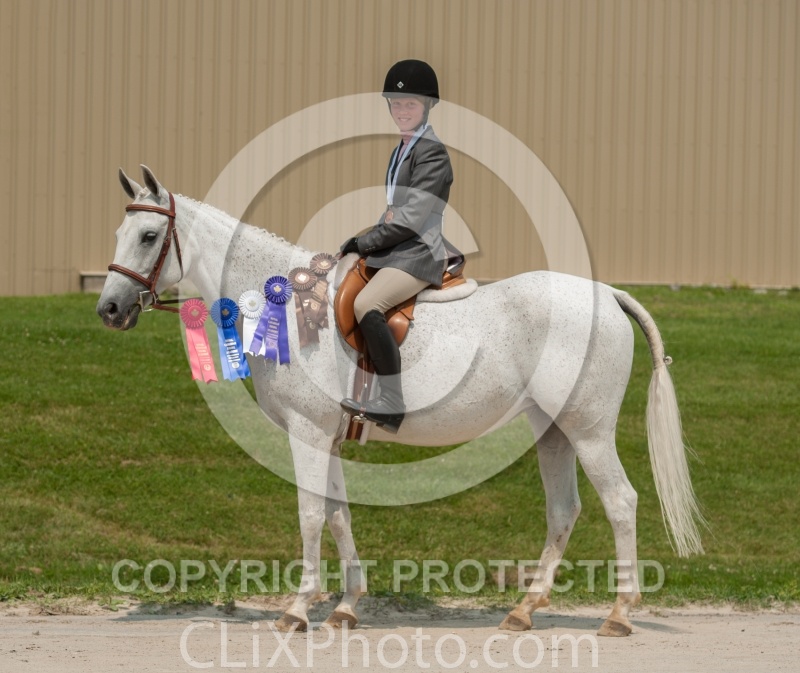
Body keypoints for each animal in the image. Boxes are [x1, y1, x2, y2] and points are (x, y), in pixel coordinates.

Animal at [97, 165, 704, 637]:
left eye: (148, 236)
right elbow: (338, 513)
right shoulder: (328, 435)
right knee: (564, 509)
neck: (286, 306)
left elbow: (311, 514)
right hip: (552, 429)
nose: (109, 309)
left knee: (620, 502)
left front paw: (297, 609)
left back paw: (619, 614)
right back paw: (524, 611)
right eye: (120, 232)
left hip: (589, 430)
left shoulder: (307, 432)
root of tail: (608, 294)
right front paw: (345, 607)